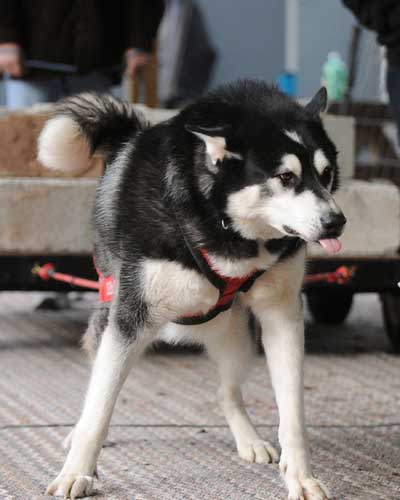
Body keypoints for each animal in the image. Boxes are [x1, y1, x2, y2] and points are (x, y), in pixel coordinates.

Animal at [38, 80, 346, 498]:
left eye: (326, 173)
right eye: (285, 177)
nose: (336, 222)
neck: (222, 227)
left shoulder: (282, 314)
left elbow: (293, 414)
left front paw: (300, 476)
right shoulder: (129, 318)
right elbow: (99, 408)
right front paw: (77, 471)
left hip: (238, 336)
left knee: (226, 392)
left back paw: (248, 439)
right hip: (108, 318)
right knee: (97, 384)